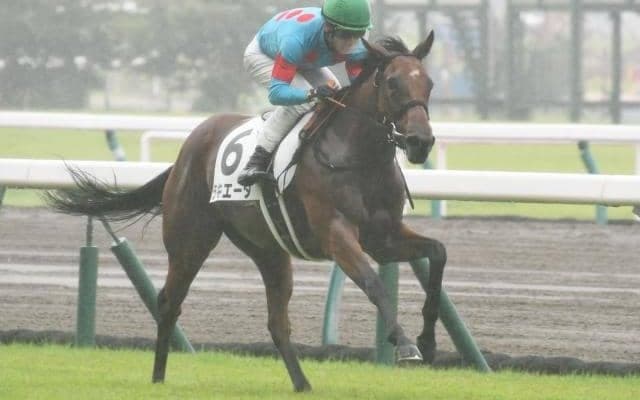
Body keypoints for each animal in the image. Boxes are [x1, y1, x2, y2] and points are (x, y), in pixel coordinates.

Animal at [46, 31, 446, 392]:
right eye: (392, 83)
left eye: (428, 83)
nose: (420, 142)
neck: (359, 158)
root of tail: (188, 148)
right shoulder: (336, 234)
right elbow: (374, 283)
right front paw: (405, 344)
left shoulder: (383, 237)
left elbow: (438, 254)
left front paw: (427, 341)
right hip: (190, 240)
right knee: (169, 301)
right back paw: (158, 378)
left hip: (268, 250)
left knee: (277, 322)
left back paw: (303, 384)